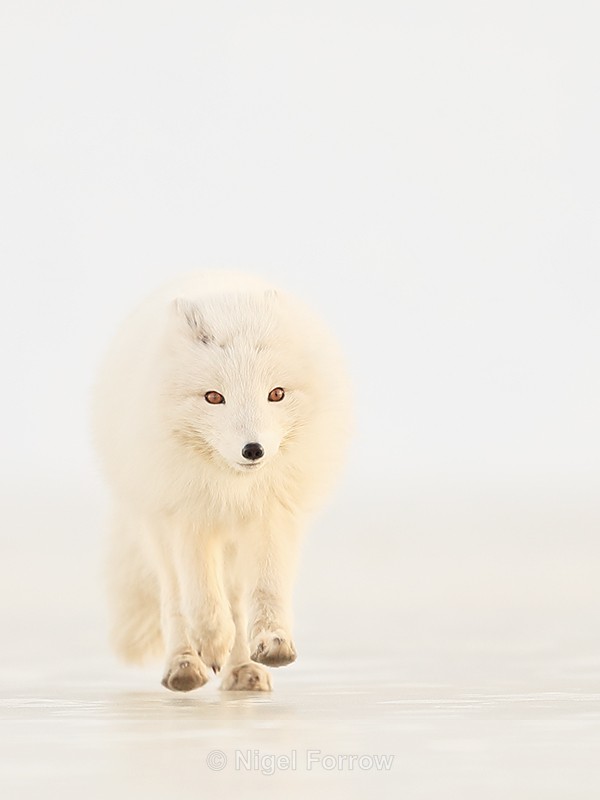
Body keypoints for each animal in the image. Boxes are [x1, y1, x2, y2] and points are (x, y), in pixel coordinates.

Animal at [92, 271, 351, 691]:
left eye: (276, 394)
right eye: (214, 397)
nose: (253, 450)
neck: (232, 490)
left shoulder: (273, 513)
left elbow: (266, 587)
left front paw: (273, 640)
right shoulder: (186, 515)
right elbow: (200, 596)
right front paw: (212, 642)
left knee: (236, 599)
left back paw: (243, 668)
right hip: (157, 530)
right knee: (175, 600)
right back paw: (185, 665)